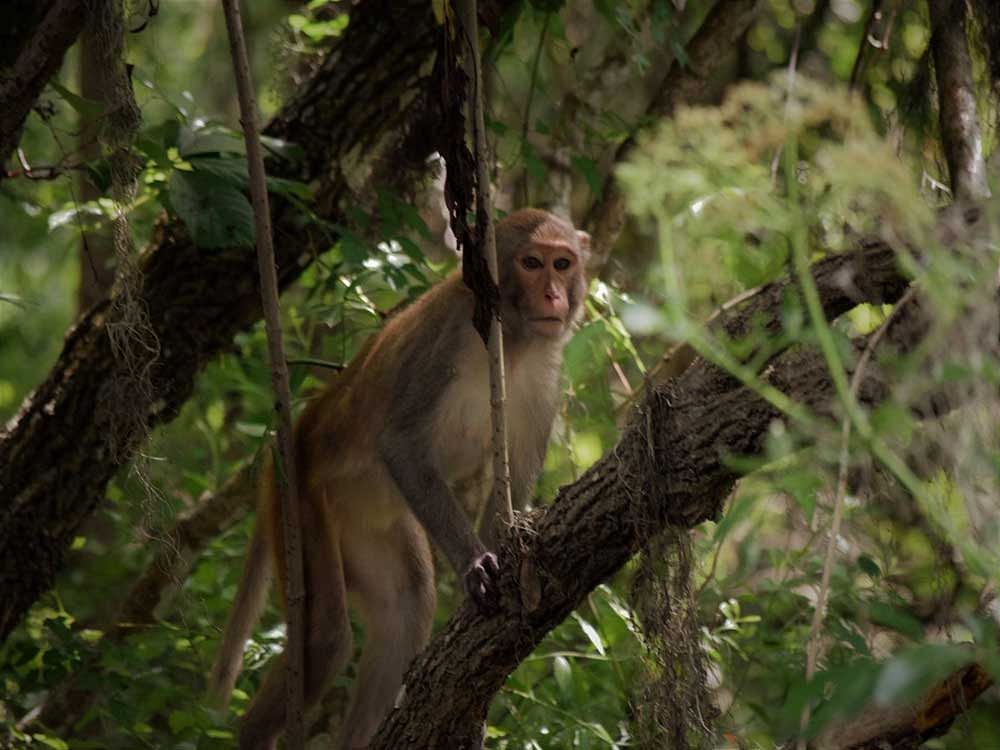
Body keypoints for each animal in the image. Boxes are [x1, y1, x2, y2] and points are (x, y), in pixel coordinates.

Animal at [209, 209, 584, 750]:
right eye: (532, 263)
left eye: (563, 263)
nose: (555, 295)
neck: (511, 341)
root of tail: (291, 437)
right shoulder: (446, 337)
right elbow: (401, 443)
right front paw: (474, 563)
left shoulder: (546, 375)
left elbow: (508, 490)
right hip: (297, 500)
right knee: (325, 639)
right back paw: (255, 728)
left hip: (366, 523)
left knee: (404, 612)